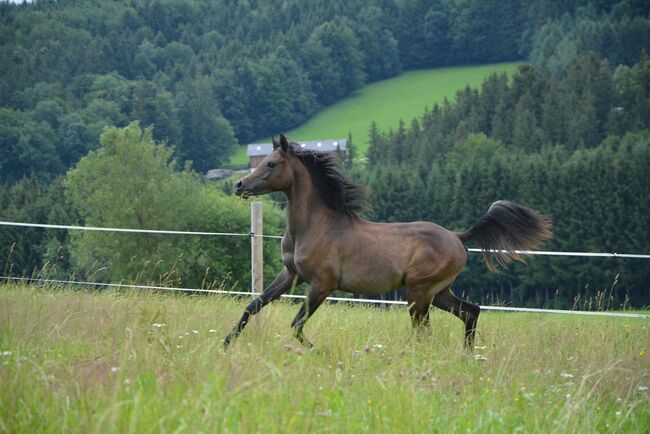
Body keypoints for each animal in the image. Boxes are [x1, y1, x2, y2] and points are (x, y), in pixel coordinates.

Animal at [224, 135, 552, 350]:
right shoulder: (290, 275)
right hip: (439, 292)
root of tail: (458, 237)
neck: (314, 227)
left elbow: (296, 324)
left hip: (418, 293)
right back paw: (467, 355)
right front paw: (226, 344)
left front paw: (316, 350)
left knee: (424, 331)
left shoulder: (322, 285)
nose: (239, 185)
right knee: (470, 311)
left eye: (271, 164)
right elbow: (252, 306)